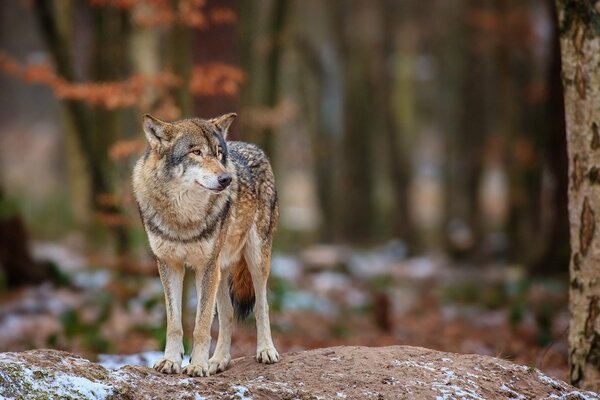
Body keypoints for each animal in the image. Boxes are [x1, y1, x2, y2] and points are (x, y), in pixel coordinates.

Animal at [132, 111, 280, 376]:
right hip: (220, 270)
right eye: (197, 152)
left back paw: (265, 351)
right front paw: (171, 361)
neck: (183, 217)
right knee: (227, 314)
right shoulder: (169, 265)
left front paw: (198, 365)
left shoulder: (205, 267)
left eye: (219, 154)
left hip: (255, 260)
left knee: (261, 306)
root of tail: (252, 146)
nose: (226, 178)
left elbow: (201, 326)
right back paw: (219, 360)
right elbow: (174, 323)